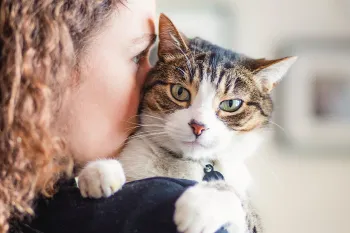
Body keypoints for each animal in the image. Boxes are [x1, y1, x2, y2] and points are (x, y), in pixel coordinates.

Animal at [78, 13, 296, 233]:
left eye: (231, 104)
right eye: (179, 92)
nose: (198, 126)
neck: (185, 164)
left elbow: (239, 199)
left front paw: (201, 205)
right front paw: (100, 171)